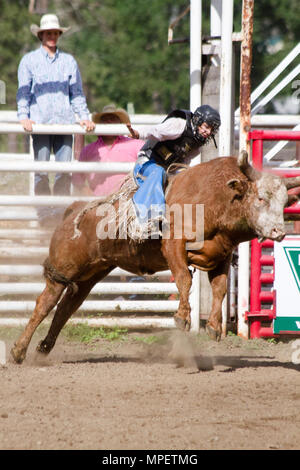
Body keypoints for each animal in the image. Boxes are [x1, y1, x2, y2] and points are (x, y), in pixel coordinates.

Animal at [10, 151, 300, 364]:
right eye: (260, 198)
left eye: (285, 203)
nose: (278, 232)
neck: (217, 199)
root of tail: (73, 210)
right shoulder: (174, 246)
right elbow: (184, 279)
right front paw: (182, 318)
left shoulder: (222, 256)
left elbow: (219, 289)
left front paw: (215, 327)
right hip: (64, 268)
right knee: (45, 304)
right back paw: (18, 351)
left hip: (89, 276)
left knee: (66, 308)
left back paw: (43, 348)